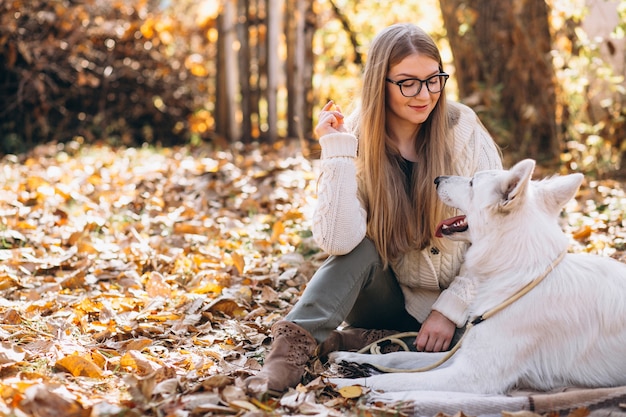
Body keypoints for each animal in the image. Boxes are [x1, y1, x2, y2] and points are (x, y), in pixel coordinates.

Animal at [326, 158, 624, 394]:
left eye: (471, 183)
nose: (437, 178)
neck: (518, 274)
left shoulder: (470, 376)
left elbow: (393, 380)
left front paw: (343, 384)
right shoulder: (458, 356)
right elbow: (397, 359)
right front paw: (347, 357)